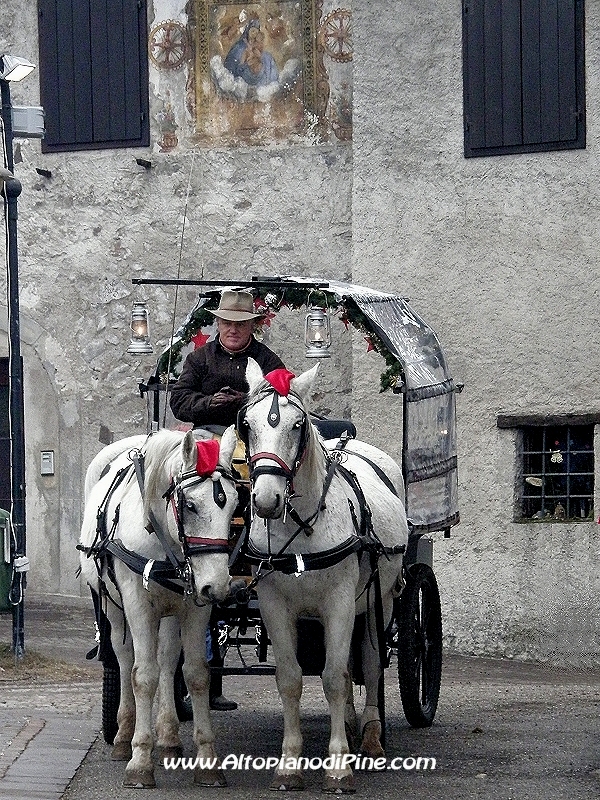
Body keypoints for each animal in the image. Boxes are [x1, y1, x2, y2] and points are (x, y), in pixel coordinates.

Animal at [78, 428, 239, 784]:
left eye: (237, 503)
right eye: (190, 505)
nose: (218, 586)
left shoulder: (195, 607)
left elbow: (196, 674)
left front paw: (207, 761)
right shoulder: (138, 605)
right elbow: (143, 675)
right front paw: (139, 760)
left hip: (170, 611)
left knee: (167, 660)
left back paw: (168, 739)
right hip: (115, 610)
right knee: (125, 659)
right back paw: (123, 737)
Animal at [237, 364, 410, 792]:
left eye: (298, 425)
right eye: (247, 424)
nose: (266, 500)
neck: (302, 528)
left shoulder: (340, 602)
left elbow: (333, 677)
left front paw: (338, 766)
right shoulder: (274, 606)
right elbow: (291, 679)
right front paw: (289, 765)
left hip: (378, 600)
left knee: (368, 663)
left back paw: (370, 735)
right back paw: (348, 722)